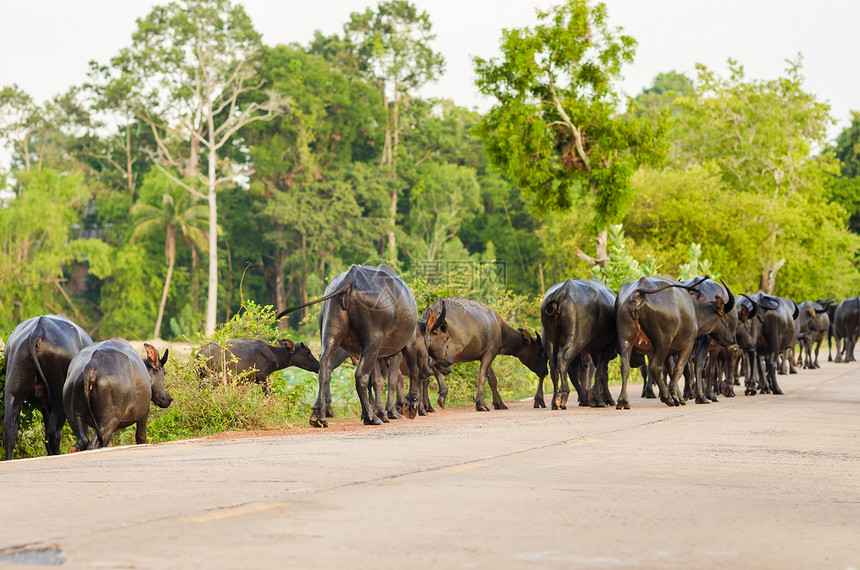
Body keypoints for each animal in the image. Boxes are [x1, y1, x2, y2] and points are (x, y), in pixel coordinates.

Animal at [536, 278, 616, 406]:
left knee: (554, 365)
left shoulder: (595, 351)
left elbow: (600, 372)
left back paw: (556, 399)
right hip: (577, 337)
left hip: (550, 338)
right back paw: (563, 394)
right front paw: (601, 400)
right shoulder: (608, 347)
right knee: (563, 358)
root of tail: (563, 290)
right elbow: (601, 372)